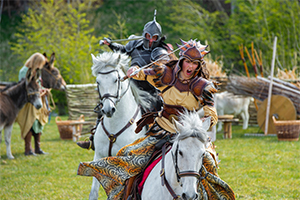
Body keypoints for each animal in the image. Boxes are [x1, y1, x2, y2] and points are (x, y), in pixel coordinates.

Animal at [88, 52, 150, 200]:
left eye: (116, 80)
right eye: (98, 82)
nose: (108, 109)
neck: (114, 127)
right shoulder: (99, 156)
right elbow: (94, 193)